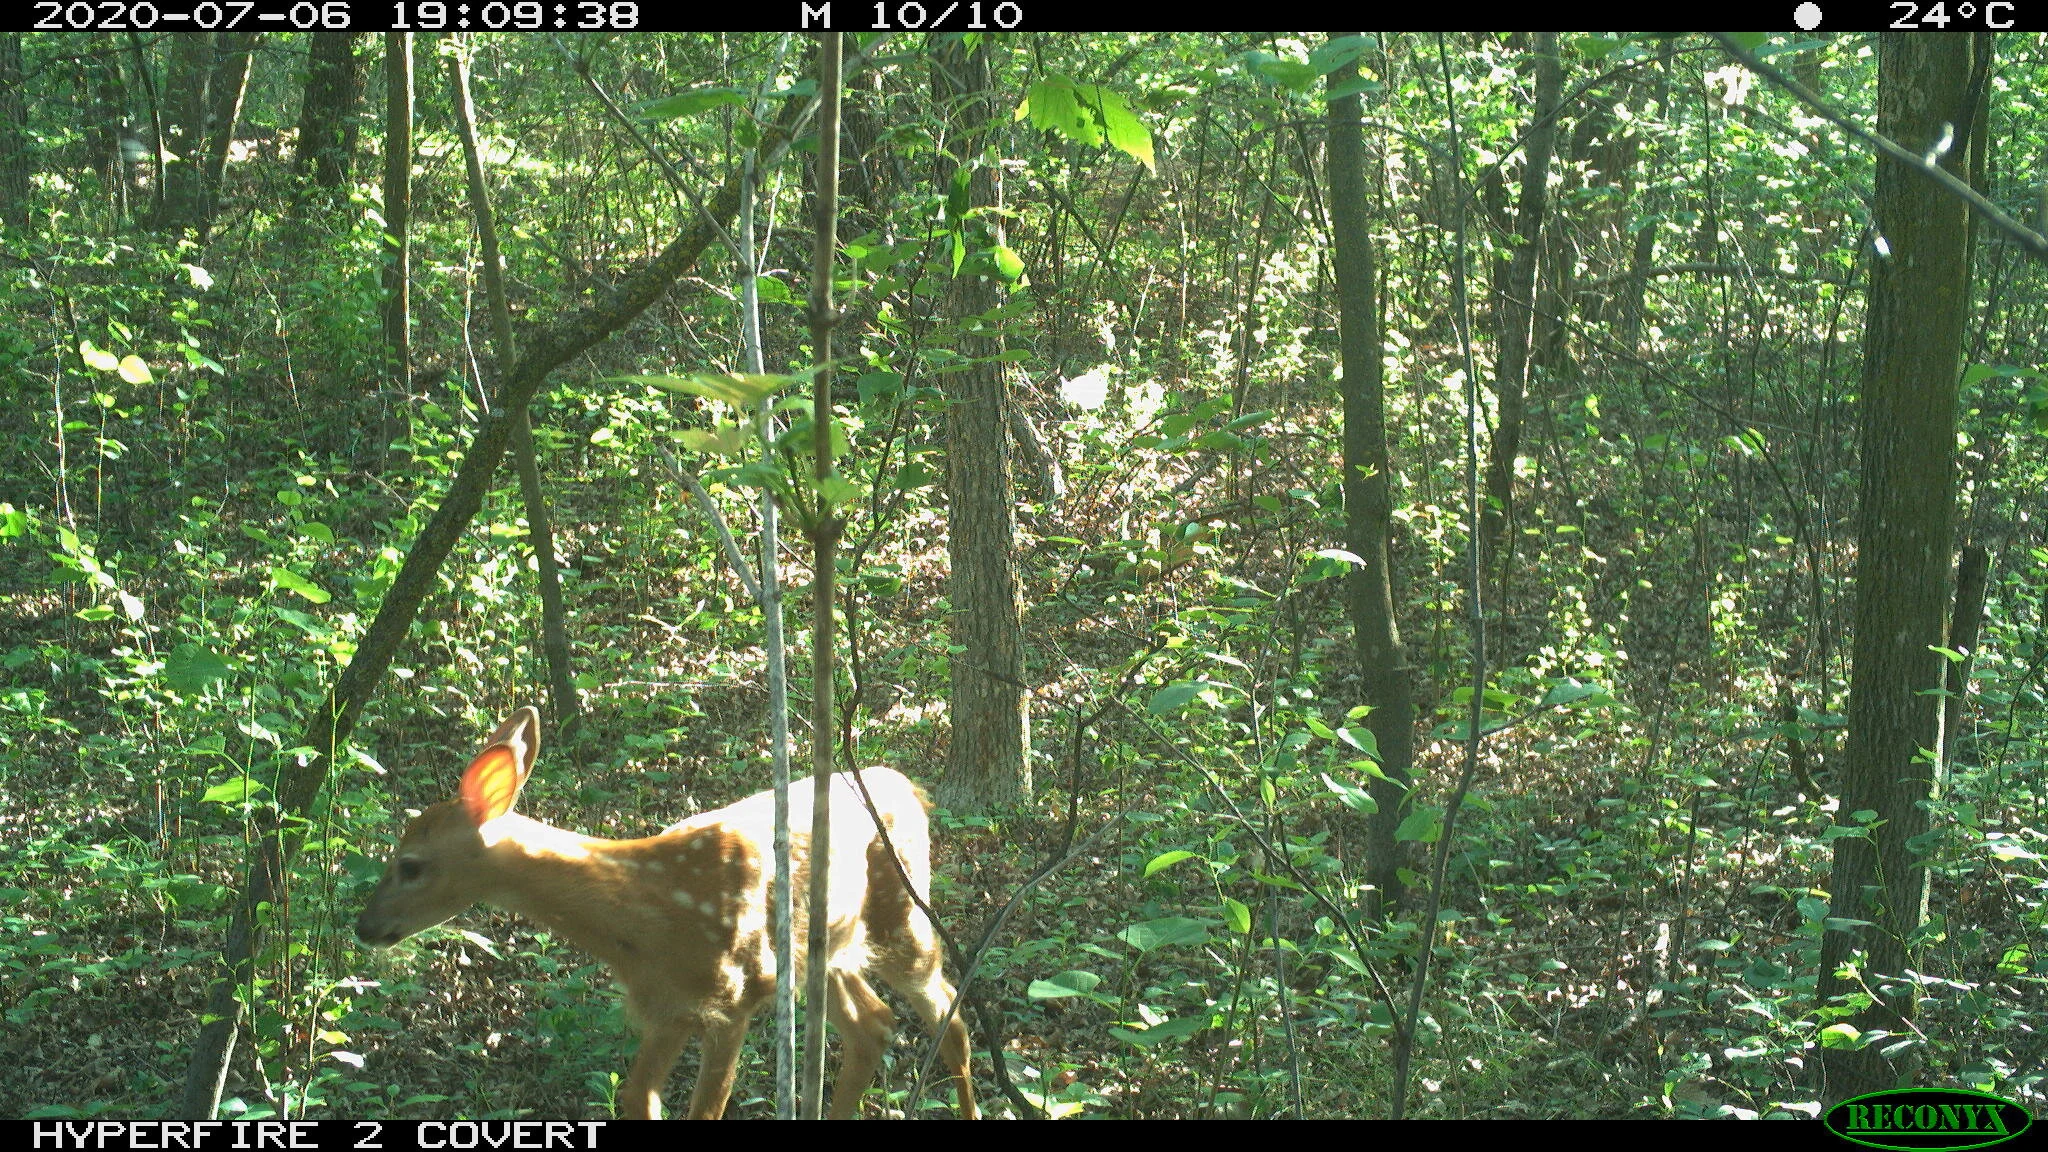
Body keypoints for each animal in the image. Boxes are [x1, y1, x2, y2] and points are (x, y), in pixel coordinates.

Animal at [354, 707, 977, 1120]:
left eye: (410, 865)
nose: (364, 927)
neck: (645, 918)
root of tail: (909, 786)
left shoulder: (740, 992)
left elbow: (704, 1110)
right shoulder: (662, 1010)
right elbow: (637, 1099)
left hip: (902, 914)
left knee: (949, 1012)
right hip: (829, 949)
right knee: (874, 1024)